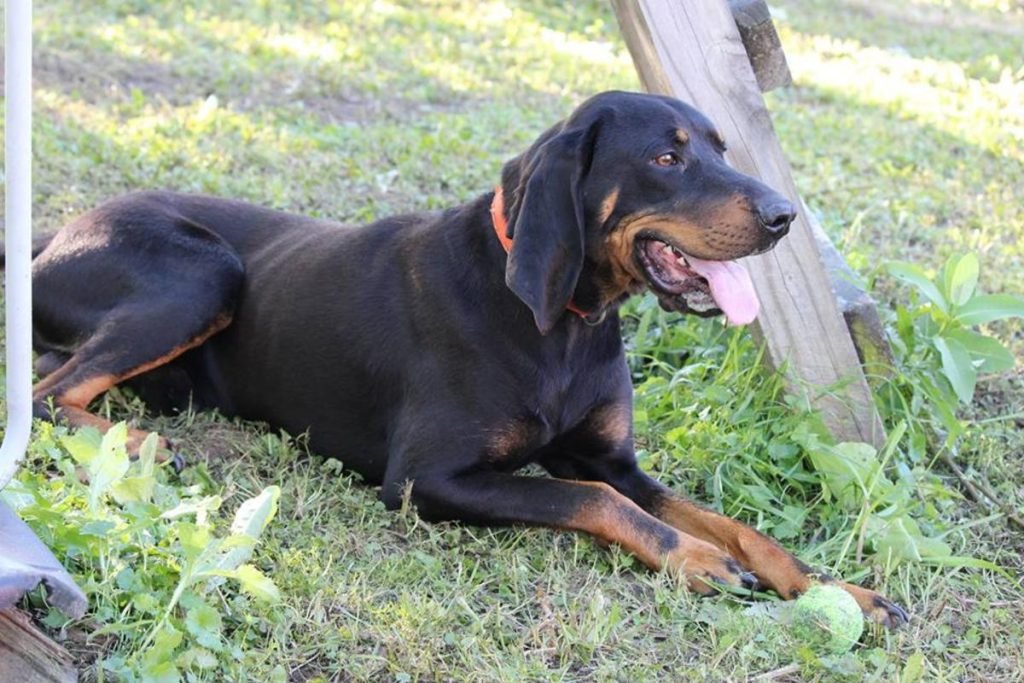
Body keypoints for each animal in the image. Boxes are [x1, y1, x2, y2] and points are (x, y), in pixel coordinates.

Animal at [29, 92, 905, 630]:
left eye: (722, 146)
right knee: (47, 391)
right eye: (667, 157)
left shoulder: (610, 456)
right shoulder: (427, 478)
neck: (562, 322)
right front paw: (691, 557)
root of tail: (56, 232)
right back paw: (137, 441)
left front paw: (837, 588)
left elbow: (730, 523)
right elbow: (592, 501)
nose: (784, 216)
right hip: (208, 271)